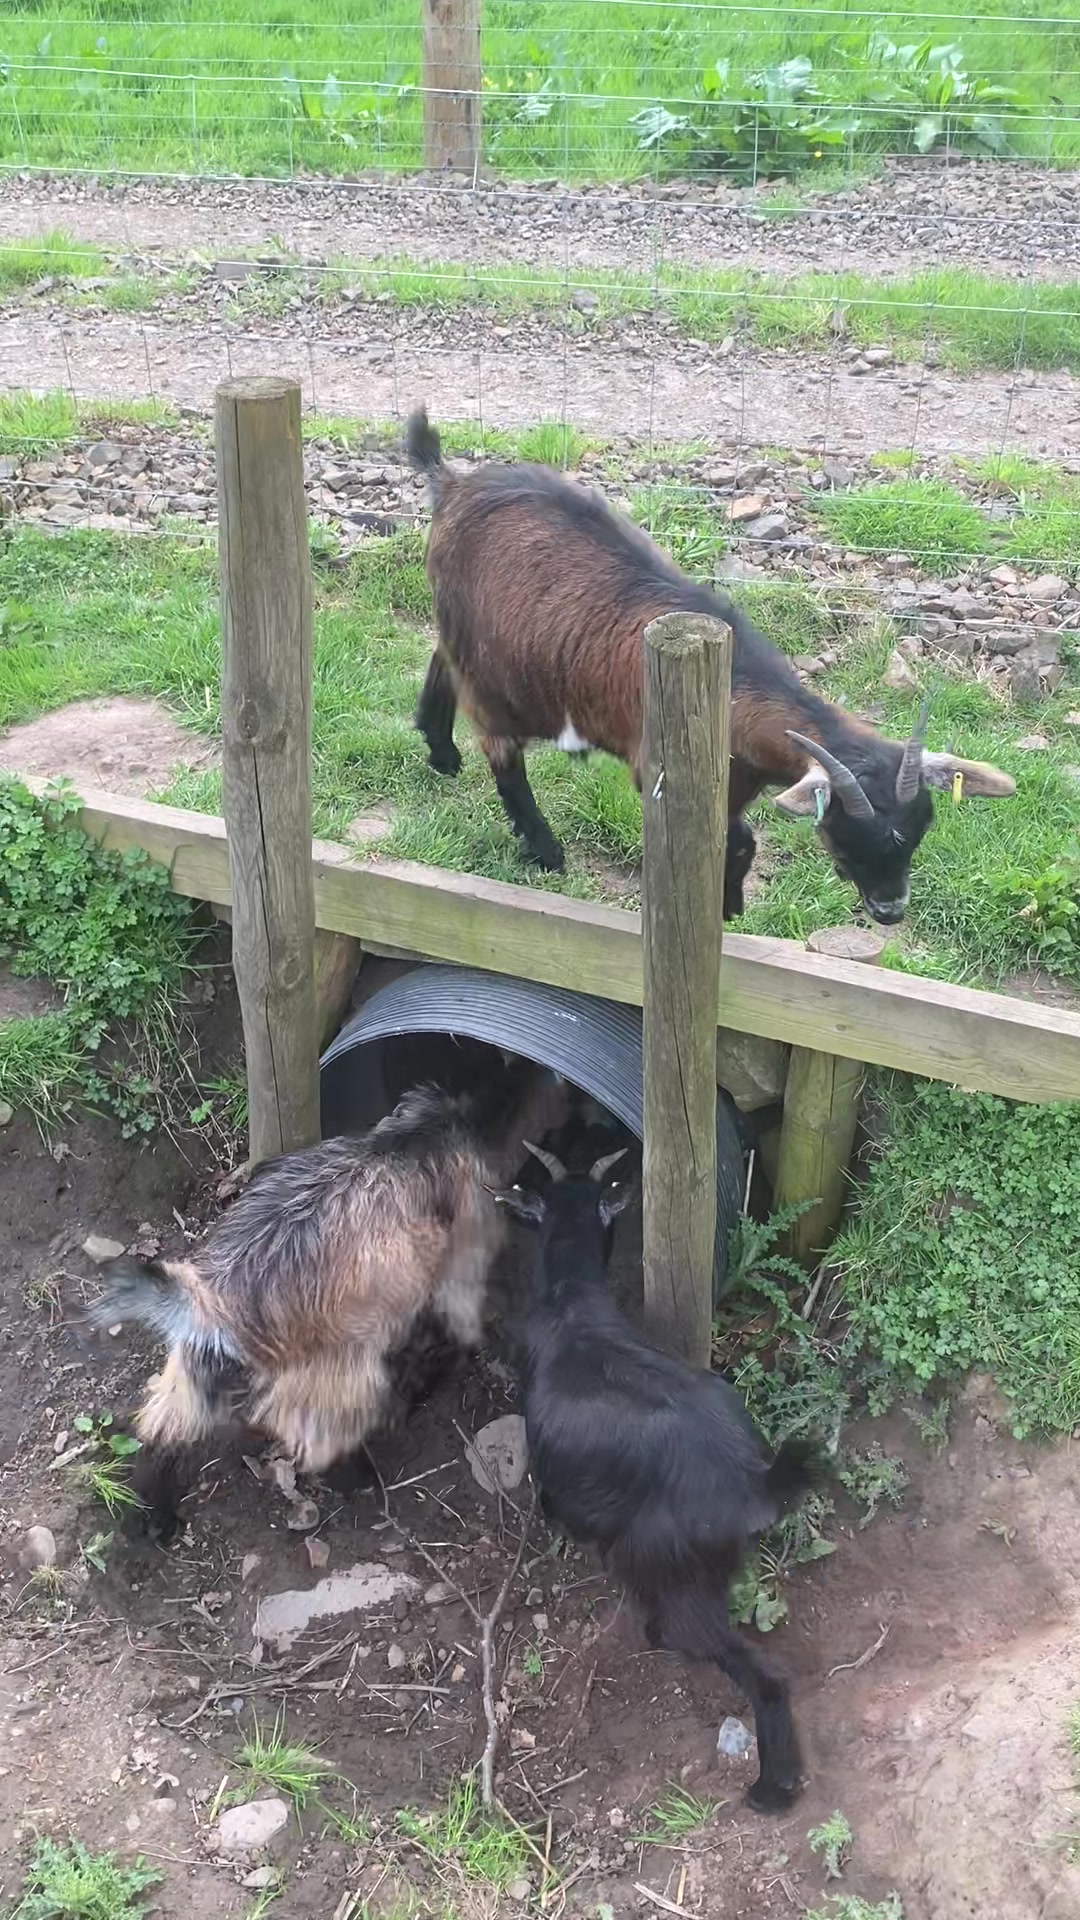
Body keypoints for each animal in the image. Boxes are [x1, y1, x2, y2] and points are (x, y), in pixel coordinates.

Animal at [88, 1057, 567, 1539]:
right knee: (321, 1438)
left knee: (162, 1428)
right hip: (338, 1375)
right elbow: (459, 1318)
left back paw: (153, 1514)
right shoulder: (468, 1237)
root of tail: (212, 1303)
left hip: (191, 1373)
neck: (457, 1117)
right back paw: (360, 1475)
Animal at [406, 408, 1015, 924]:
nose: (889, 910)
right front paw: (722, 907)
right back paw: (544, 847)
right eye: (843, 830)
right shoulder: (660, 771)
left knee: (441, 658)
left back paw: (440, 750)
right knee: (501, 750)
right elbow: (736, 841)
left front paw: (731, 905)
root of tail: (453, 484)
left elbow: (742, 842)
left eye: (919, 831)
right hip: (499, 672)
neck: (734, 690)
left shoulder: (736, 786)